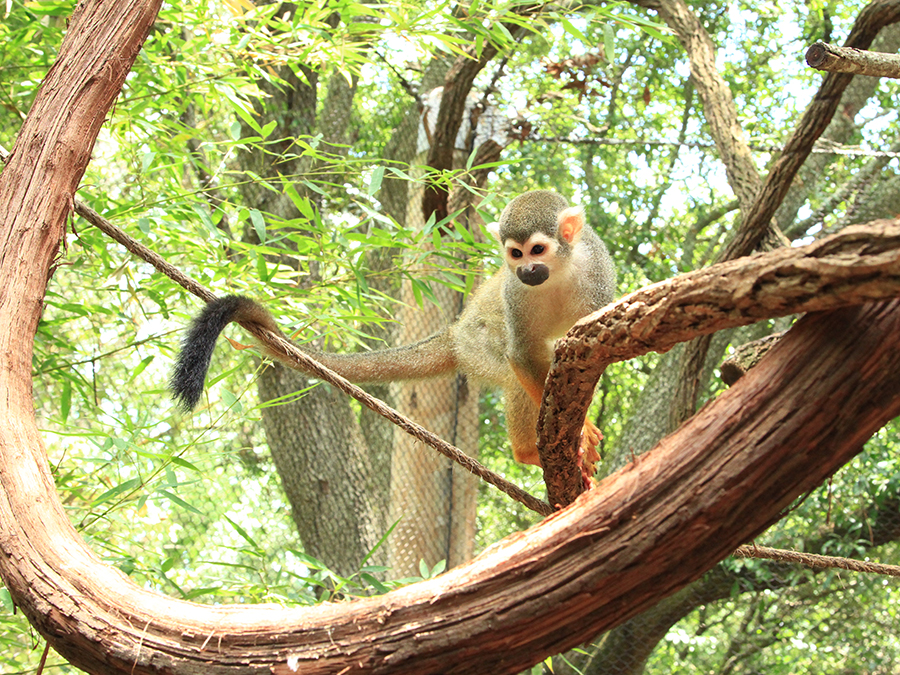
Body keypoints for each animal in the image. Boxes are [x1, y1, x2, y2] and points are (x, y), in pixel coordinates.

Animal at [171, 190, 616, 472]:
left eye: (537, 250)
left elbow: (593, 348)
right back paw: (527, 452)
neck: (559, 271)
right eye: (515, 253)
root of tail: (455, 331)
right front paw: (578, 434)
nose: (526, 271)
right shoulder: (514, 293)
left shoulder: (597, 271)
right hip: (478, 345)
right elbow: (521, 354)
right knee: (511, 370)